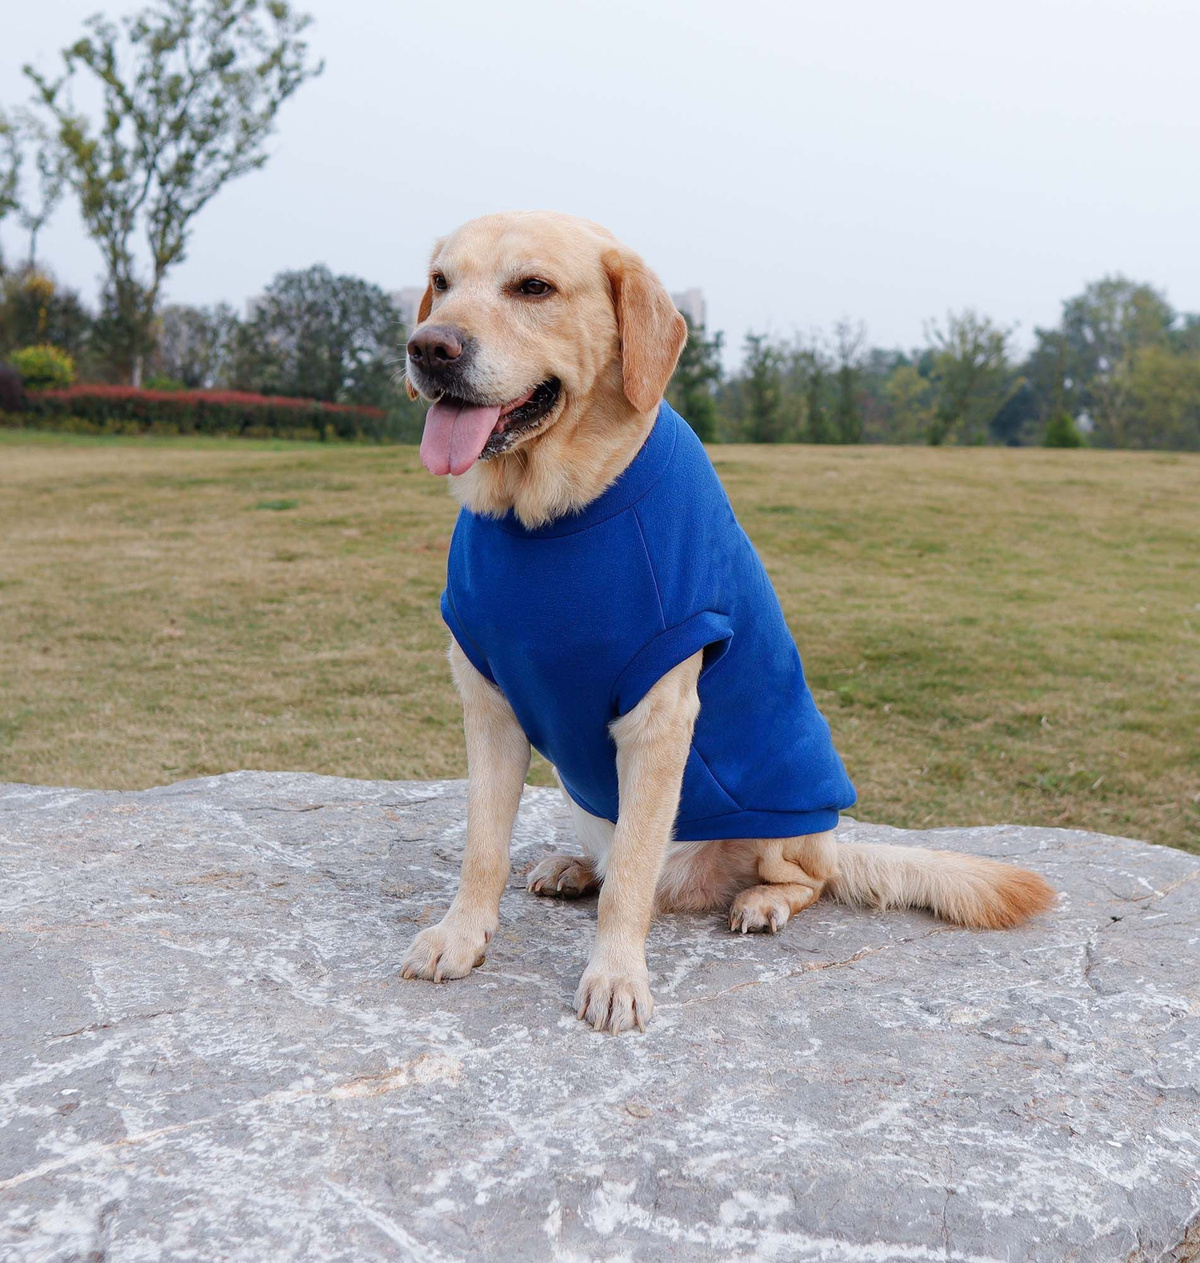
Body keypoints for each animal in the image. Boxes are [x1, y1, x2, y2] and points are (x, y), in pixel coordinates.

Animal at [399, 209, 1056, 1035]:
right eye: (440, 282)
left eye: (534, 287)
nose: (429, 347)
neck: (546, 519)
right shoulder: (488, 705)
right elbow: (482, 847)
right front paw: (460, 935)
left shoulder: (659, 717)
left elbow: (631, 881)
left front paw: (616, 975)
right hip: (586, 799)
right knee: (615, 861)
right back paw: (573, 866)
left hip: (788, 822)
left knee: (794, 879)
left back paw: (762, 899)